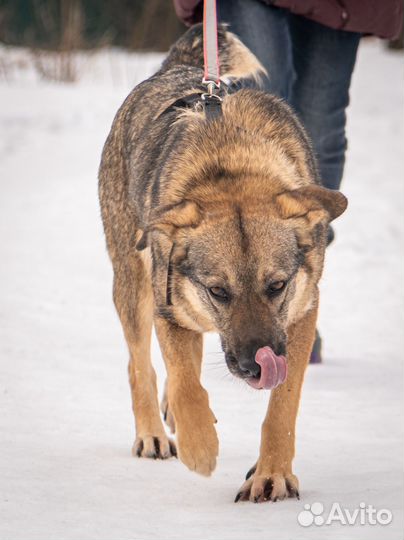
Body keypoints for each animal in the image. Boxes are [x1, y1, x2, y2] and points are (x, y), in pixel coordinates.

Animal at [98, 22, 348, 502]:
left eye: (277, 285)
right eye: (218, 291)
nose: (256, 364)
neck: (229, 166)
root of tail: (176, 69)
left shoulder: (301, 315)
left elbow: (283, 405)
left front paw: (272, 474)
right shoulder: (169, 306)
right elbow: (184, 383)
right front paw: (199, 447)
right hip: (133, 283)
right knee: (141, 365)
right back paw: (154, 433)